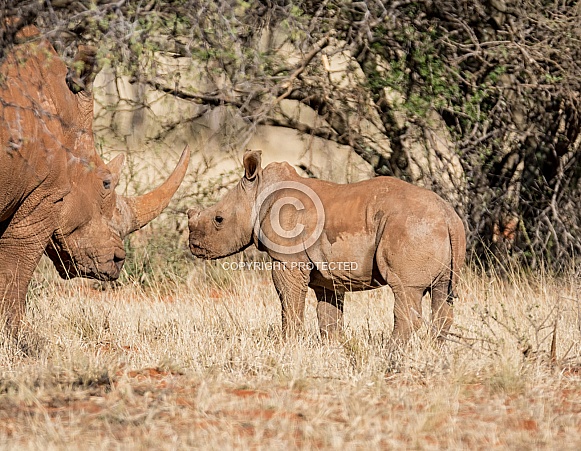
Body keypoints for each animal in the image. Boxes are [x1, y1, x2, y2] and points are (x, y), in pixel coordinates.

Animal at [188, 150, 464, 344]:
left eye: (218, 219)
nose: (194, 246)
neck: (259, 192)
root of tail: (448, 215)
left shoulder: (287, 260)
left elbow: (289, 303)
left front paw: (288, 344)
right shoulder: (327, 273)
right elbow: (328, 316)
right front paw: (332, 347)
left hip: (410, 227)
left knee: (406, 290)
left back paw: (391, 353)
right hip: (434, 229)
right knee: (442, 294)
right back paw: (432, 350)